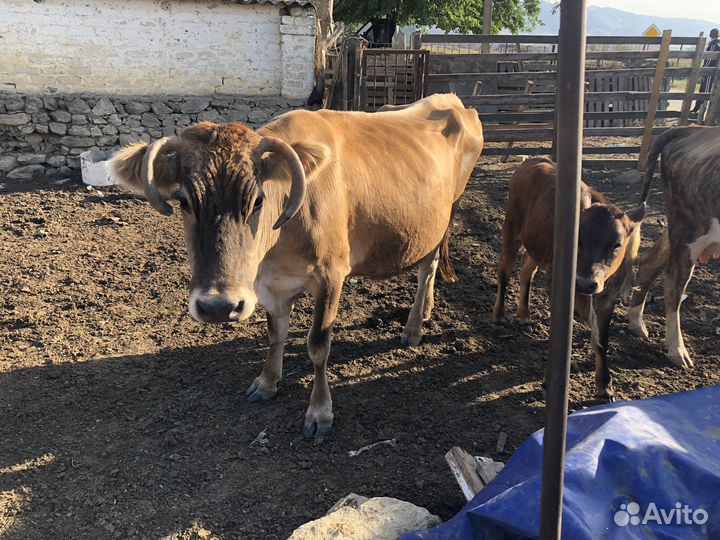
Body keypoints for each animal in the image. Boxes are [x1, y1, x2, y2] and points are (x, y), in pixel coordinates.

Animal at [110, 93, 484, 437]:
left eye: (257, 201)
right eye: (185, 202)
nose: (218, 307)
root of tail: (450, 99)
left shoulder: (332, 275)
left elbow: (318, 345)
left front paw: (319, 412)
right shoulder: (267, 282)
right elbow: (276, 333)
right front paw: (267, 382)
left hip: (447, 213)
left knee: (427, 269)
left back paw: (413, 327)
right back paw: (425, 313)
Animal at [493, 158, 645, 400]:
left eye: (617, 244)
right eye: (578, 240)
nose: (584, 283)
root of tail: (533, 160)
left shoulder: (607, 298)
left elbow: (601, 341)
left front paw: (605, 386)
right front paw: (550, 381)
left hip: (536, 248)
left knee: (527, 272)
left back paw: (524, 315)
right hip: (511, 230)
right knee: (504, 272)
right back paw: (499, 315)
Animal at [627, 126, 720, 369]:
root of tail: (692, 130)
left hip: (679, 230)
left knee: (650, 263)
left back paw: (636, 324)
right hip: (688, 230)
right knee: (673, 281)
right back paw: (677, 351)